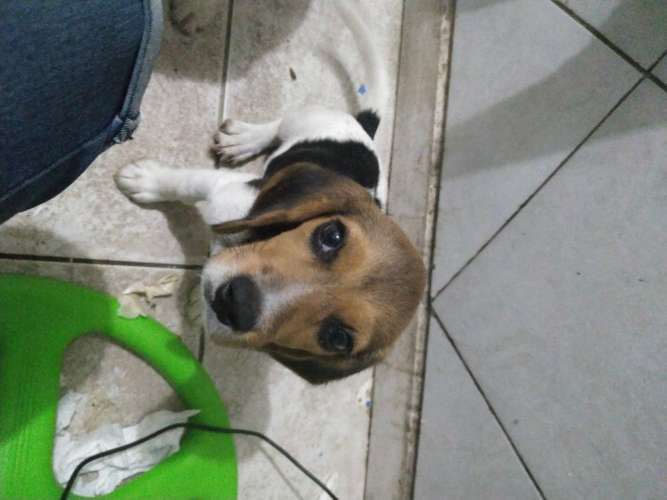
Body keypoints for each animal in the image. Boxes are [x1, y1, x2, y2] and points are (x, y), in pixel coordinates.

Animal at [115, 2, 426, 383]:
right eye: (331, 236)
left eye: (337, 338)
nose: (235, 302)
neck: (244, 241)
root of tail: (365, 130)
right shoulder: (222, 189)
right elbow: (181, 183)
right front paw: (145, 181)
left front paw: (198, 307)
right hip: (309, 117)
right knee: (278, 125)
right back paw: (245, 140)